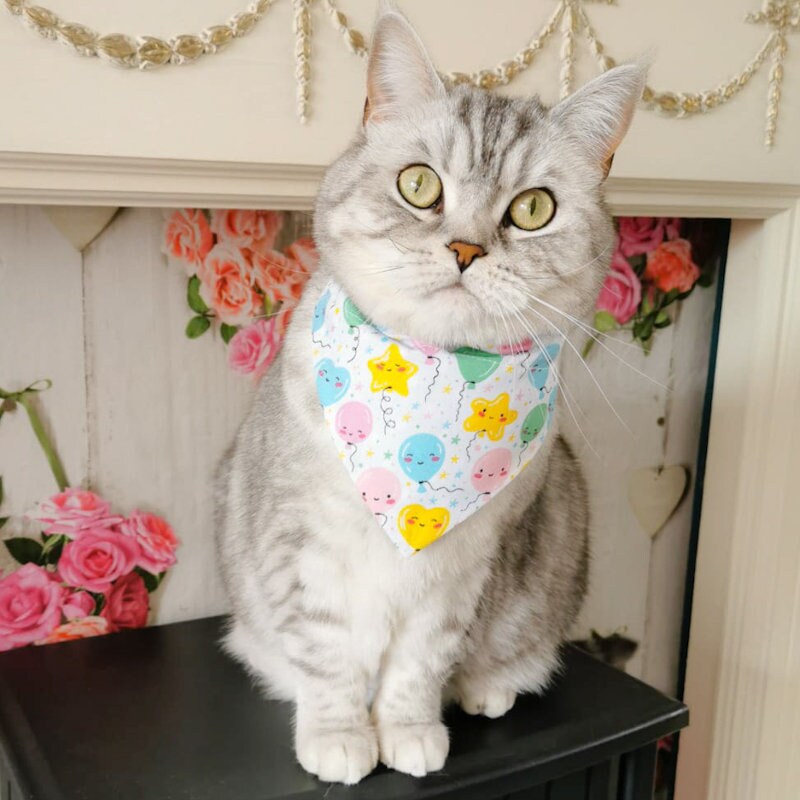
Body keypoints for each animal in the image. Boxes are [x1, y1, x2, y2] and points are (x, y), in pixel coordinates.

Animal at [216, 3, 648, 784]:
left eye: (533, 209)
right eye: (419, 186)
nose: (466, 249)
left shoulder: (464, 577)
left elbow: (420, 665)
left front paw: (409, 732)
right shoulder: (300, 549)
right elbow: (327, 657)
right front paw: (340, 736)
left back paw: (487, 689)